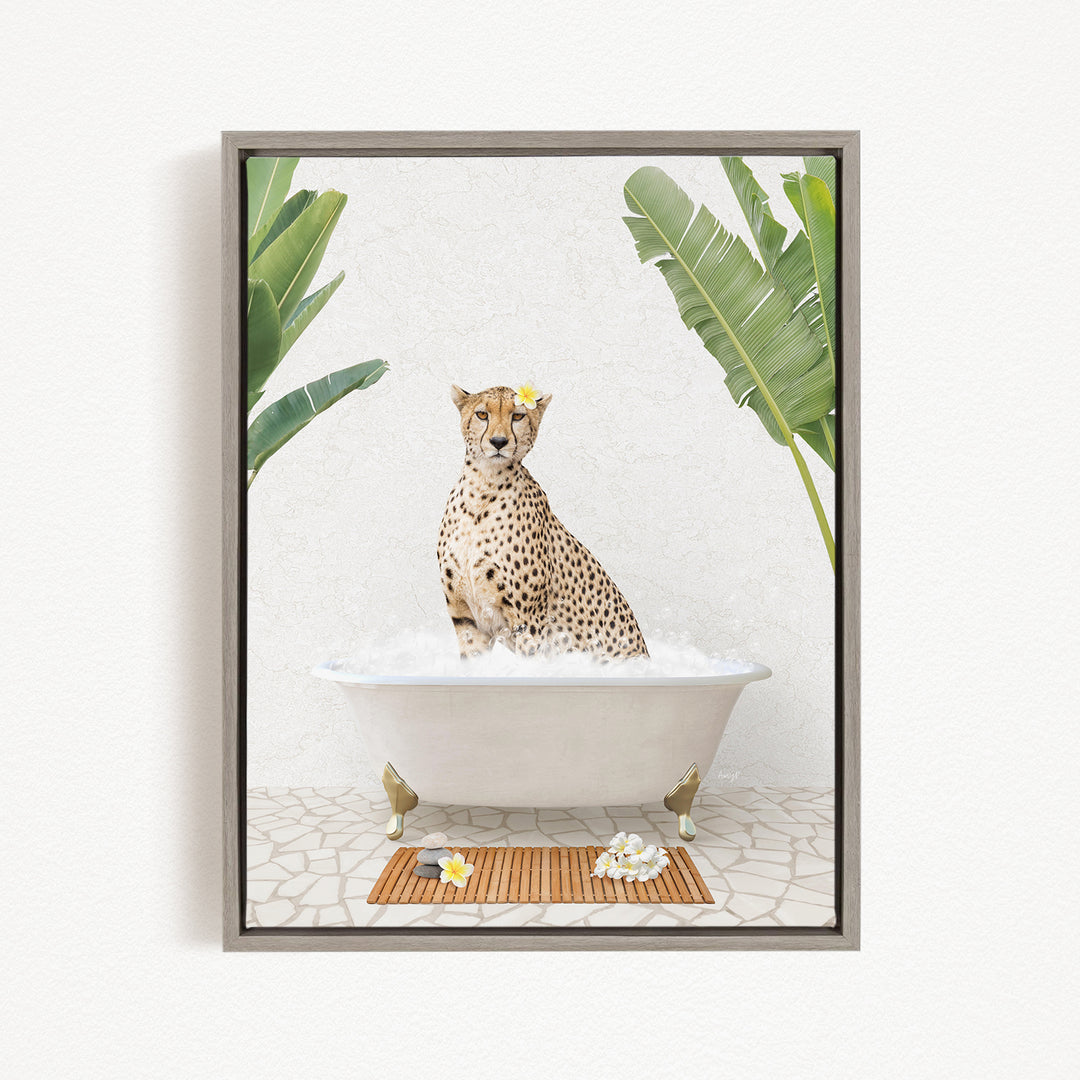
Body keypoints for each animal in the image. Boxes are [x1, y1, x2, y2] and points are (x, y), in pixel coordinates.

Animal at [437, 384, 649, 661]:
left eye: (518, 416)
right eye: (482, 415)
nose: (498, 442)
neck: (483, 486)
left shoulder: (528, 621)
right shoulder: (465, 618)